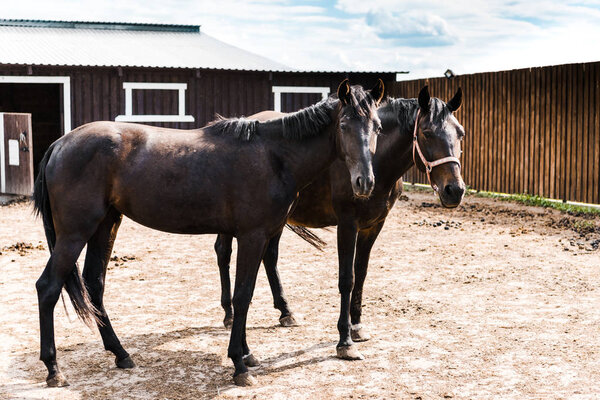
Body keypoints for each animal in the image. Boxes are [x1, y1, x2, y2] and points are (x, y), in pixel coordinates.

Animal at [31, 79, 384, 388]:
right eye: (344, 126)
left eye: (377, 126)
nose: (365, 182)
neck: (274, 156)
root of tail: (60, 144)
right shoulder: (253, 236)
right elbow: (242, 296)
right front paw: (240, 365)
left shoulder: (257, 236)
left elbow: (247, 293)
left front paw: (246, 353)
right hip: (74, 233)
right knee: (48, 288)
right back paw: (54, 369)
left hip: (106, 224)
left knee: (95, 284)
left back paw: (121, 354)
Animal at [214, 85, 464, 360]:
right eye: (427, 133)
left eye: (460, 133)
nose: (454, 190)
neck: (373, 160)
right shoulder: (347, 224)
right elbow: (347, 278)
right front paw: (345, 340)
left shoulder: (373, 226)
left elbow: (361, 274)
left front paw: (357, 326)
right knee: (223, 253)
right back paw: (229, 313)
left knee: (269, 257)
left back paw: (286, 311)